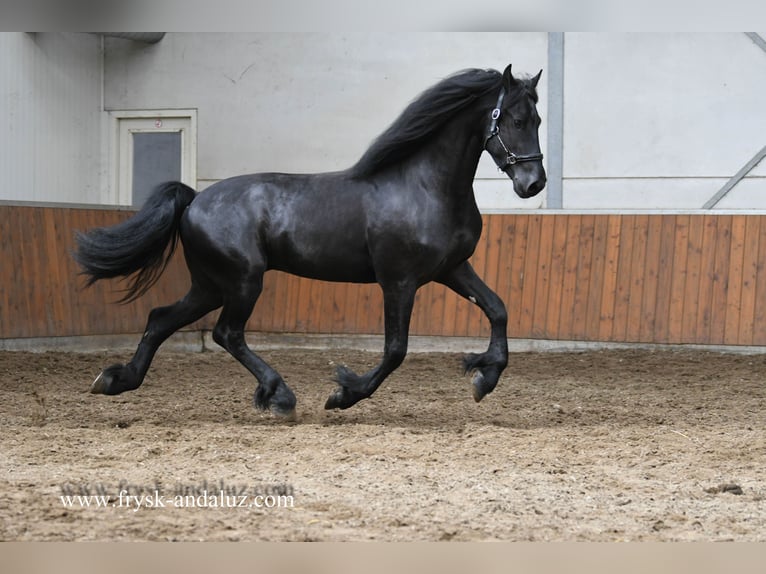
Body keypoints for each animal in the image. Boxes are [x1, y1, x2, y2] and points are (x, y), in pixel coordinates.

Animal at [74, 64, 546, 419]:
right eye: (515, 120)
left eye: (538, 121)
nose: (534, 183)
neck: (424, 186)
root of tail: (193, 200)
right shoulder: (398, 281)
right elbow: (396, 349)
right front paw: (343, 394)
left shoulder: (452, 269)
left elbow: (498, 309)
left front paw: (484, 377)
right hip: (242, 281)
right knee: (227, 333)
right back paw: (280, 396)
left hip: (210, 285)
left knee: (160, 319)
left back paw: (116, 380)